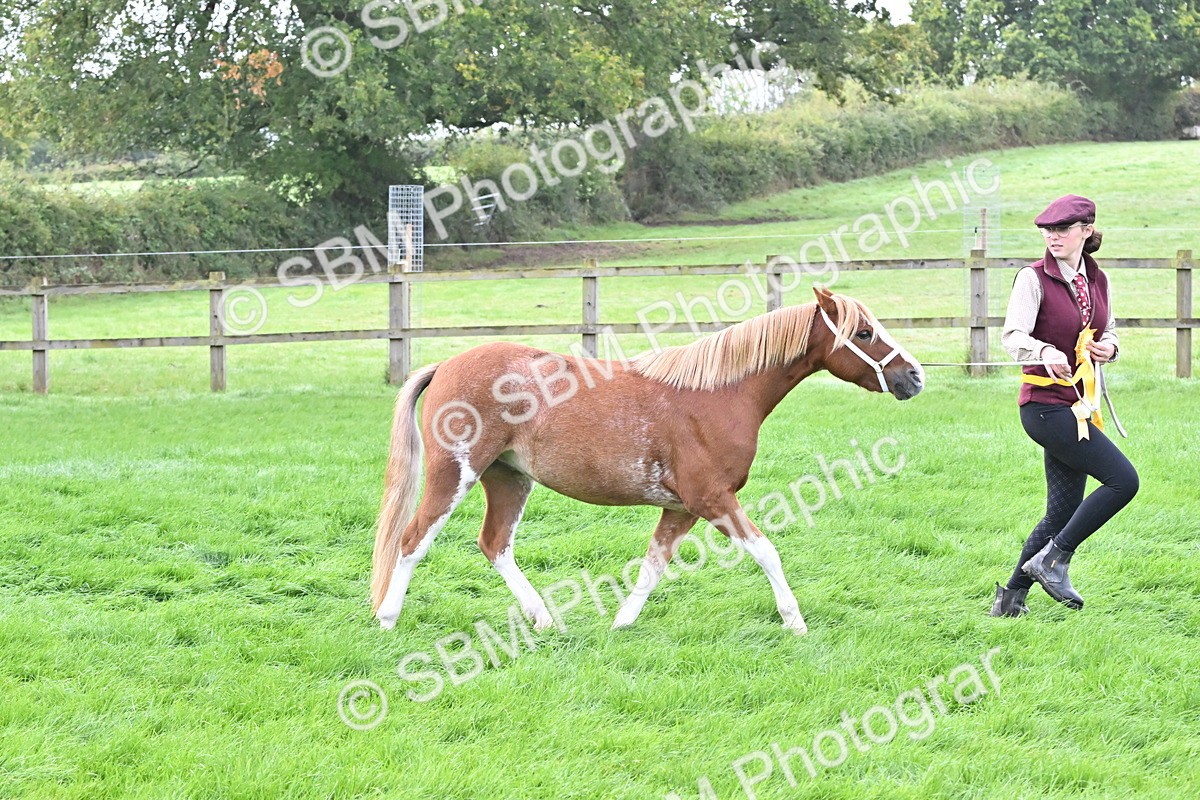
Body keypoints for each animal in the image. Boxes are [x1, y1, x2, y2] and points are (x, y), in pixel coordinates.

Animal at [370, 287, 924, 635]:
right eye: (865, 333)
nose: (914, 377)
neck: (718, 394)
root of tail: (446, 365)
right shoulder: (712, 500)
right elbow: (767, 552)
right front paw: (796, 622)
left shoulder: (681, 508)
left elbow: (653, 566)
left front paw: (621, 623)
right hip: (454, 475)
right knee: (413, 540)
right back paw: (388, 618)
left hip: (509, 478)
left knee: (495, 544)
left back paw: (544, 618)